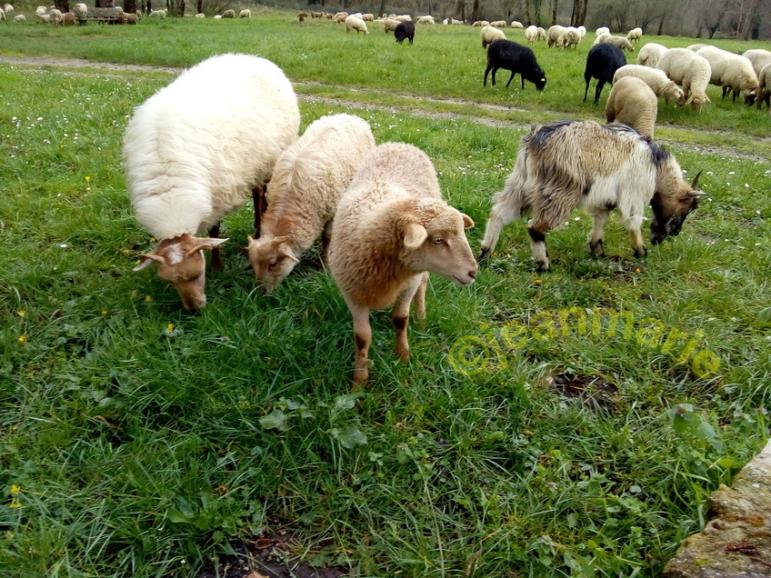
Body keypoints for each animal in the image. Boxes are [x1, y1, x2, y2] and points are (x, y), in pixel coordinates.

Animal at [124, 54, 300, 311]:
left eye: (199, 273)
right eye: (170, 282)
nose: (194, 310)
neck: (170, 195)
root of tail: (253, 57)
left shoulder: (218, 194)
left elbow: (215, 231)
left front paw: (218, 266)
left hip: (270, 158)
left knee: (261, 194)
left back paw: (259, 226)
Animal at [247, 114, 375, 293]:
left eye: (272, 264)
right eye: (252, 265)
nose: (261, 293)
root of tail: (350, 116)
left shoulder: (331, 211)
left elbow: (327, 237)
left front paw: (324, 265)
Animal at [328, 143, 477, 385]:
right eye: (437, 240)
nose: (473, 272)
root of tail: (400, 144)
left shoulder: (408, 284)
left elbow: (400, 320)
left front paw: (403, 358)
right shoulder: (352, 292)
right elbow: (362, 337)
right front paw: (359, 381)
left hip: (420, 274)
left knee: (423, 286)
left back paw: (422, 319)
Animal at [479, 120, 702, 270]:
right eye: (687, 209)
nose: (674, 233)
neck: (656, 166)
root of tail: (534, 139)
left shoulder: (605, 199)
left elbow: (601, 219)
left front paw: (597, 249)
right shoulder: (634, 193)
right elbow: (633, 221)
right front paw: (641, 251)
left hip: (520, 183)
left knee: (499, 212)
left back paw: (485, 254)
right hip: (559, 190)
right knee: (535, 227)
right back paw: (543, 264)